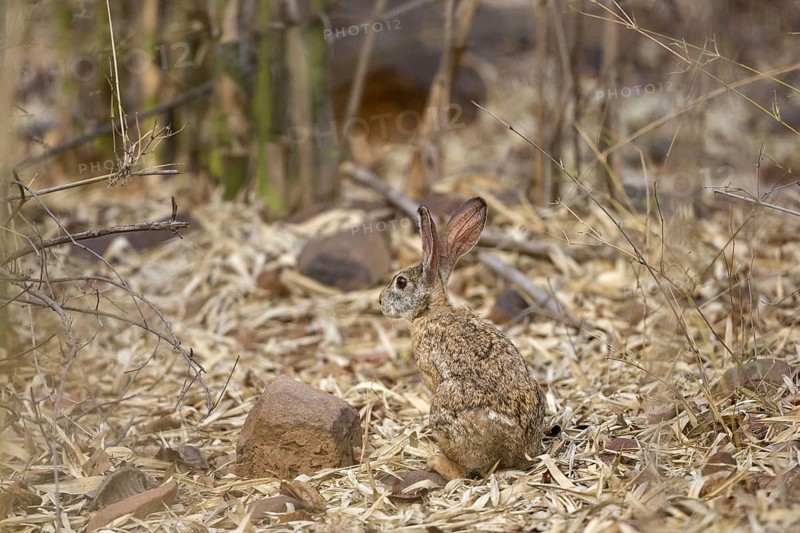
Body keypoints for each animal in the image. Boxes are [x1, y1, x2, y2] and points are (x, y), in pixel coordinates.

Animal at [379, 197, 545, 479]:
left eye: (401, 282)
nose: (380, 301)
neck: (433, 311)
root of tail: (516, 451)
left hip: (444, 406)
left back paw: (437, 462)